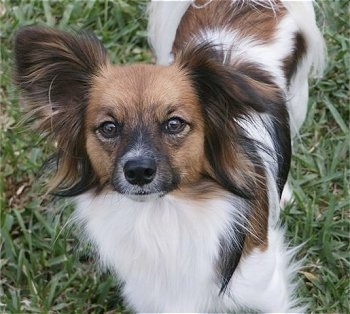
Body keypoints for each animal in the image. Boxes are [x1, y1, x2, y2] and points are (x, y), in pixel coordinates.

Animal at [13, 0, 326, 312]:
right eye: (109, 128)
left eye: (174, 124)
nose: (138, 171)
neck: (162, 216)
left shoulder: (267, 287)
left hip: (297, 103)